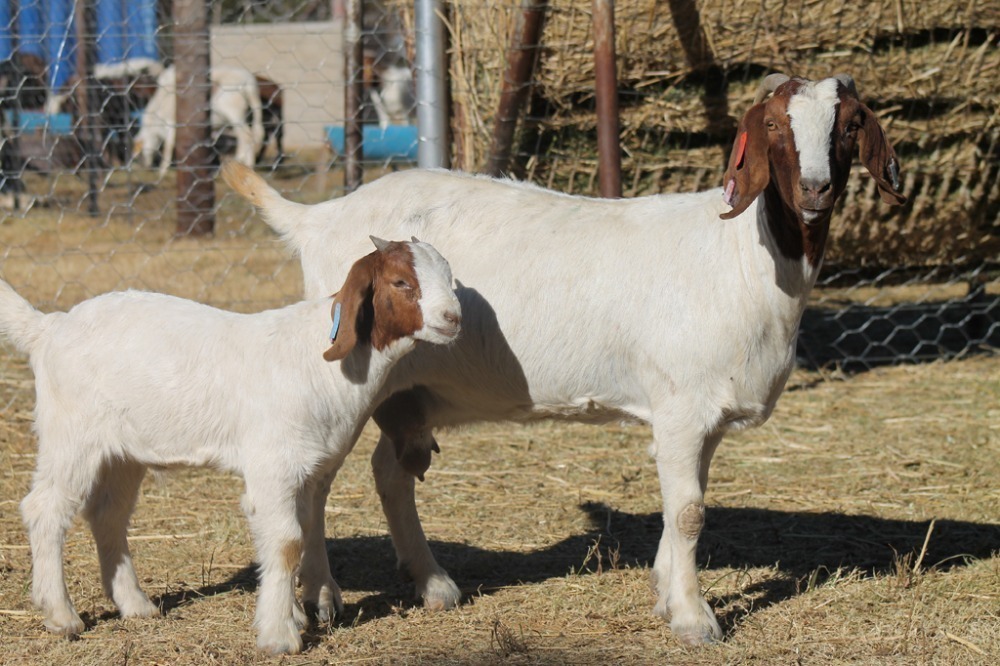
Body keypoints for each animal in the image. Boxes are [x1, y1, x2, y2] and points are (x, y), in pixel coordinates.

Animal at [134, 62, 266, 175]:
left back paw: (244, 162)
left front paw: (162, 171)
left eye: (140, 154)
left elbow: (168, 148)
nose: (144, 167)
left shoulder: (171, 124)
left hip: (233, 111)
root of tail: (250, 82)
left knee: (247, 136)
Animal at [225, 72, 908, 644]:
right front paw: (694, 619)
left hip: (404, 389)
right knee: (315, 487)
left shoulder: (700, 416)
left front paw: (665, 592)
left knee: (388, 474)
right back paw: (321, 598)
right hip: (339, 381)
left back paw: (432, 583)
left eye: (850, 125)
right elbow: (690, 513)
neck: (741, 255)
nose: (815, 189)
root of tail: (316, 219)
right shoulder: (682, 407)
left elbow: (681, 506)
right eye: (772, 126)